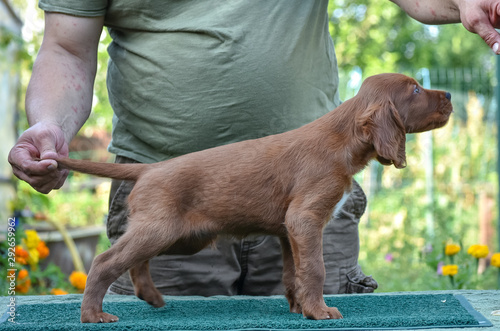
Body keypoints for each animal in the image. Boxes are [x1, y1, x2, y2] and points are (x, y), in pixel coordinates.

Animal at [55, 73, 454, 324]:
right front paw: (320, 312)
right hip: (163, 229)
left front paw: (300, 308)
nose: (450, 95)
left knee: (136, 262)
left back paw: (151, 297)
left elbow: (293, 272)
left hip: (180, 236)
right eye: (415, 90)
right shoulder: (305, 219)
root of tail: (150, 169)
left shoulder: (288, 231)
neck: (341, 138)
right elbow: (316, 268)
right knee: (106, 261)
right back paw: (92, 314)